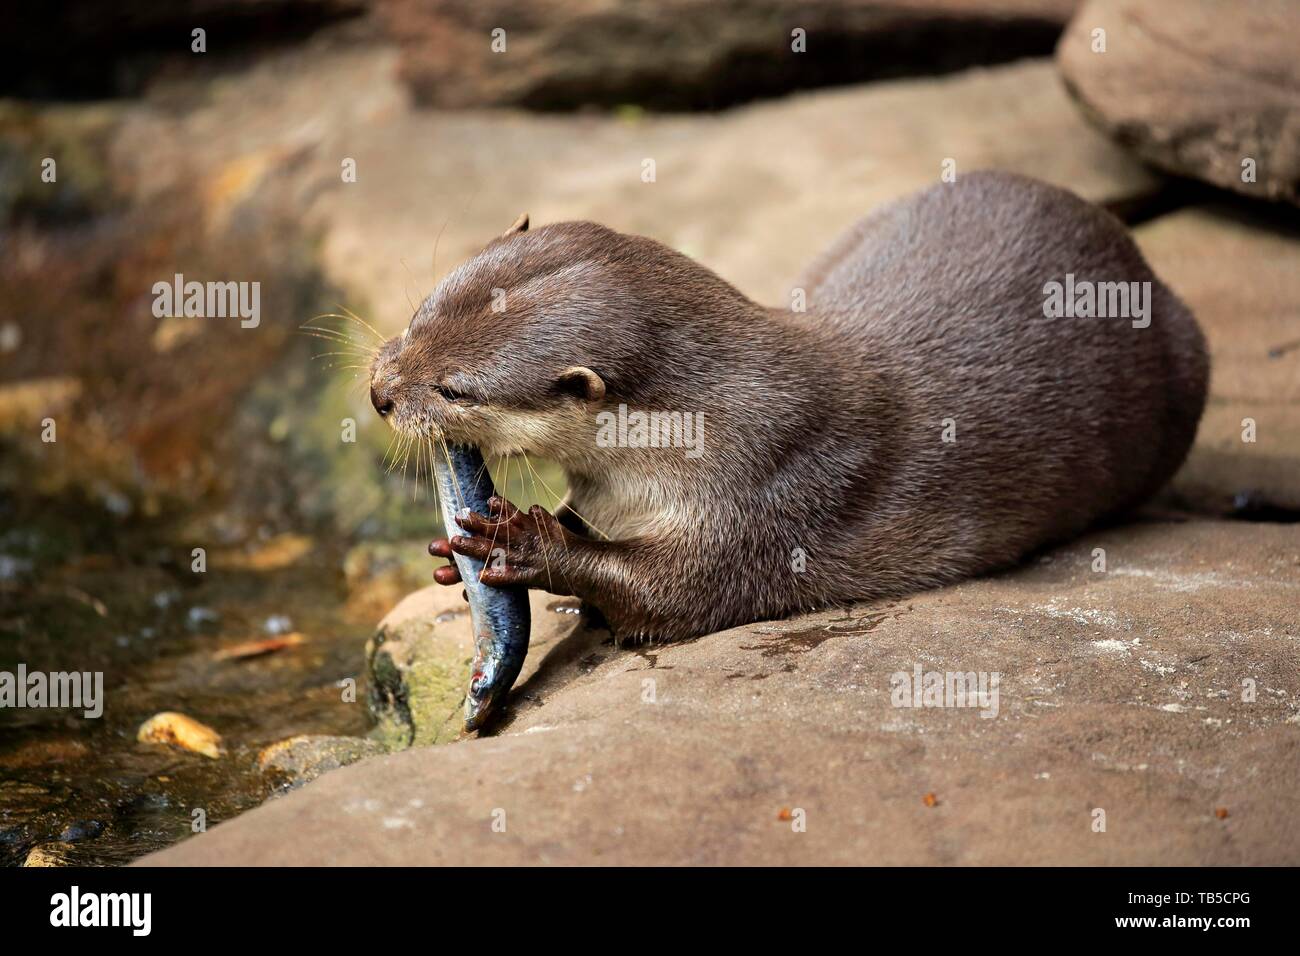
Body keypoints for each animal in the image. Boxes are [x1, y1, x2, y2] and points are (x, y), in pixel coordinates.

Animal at [368, 172, 1208, 642]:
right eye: (416, 316)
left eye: (456, 389)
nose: (379, 392)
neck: (696, 432)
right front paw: (451, 561)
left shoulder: (767, 489)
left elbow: (667, 598)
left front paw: (522, 539)